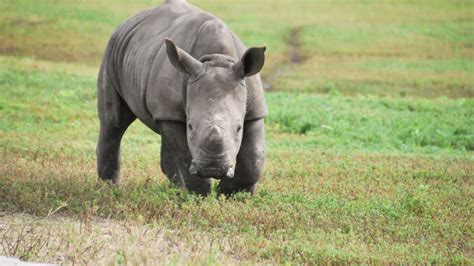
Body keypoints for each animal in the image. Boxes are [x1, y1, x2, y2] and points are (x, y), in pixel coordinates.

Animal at [97, 0, 266, 195]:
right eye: (190, 127)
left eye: (238, 128)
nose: (213, 169)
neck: (217, 58)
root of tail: (127, 22)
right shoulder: (170, 113)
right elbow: (184, 156)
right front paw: (199, 196)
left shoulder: (254, 110)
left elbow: (253, 158)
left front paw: (232, 195)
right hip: (112, 52)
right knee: (113, 122)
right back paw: (109, 189)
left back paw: (174, 190)